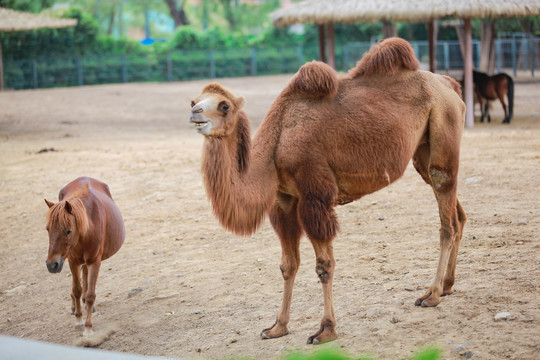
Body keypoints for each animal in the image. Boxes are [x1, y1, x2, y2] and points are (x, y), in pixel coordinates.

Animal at [44, 176, 125, 336]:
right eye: (48, 229)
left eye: (68, 231)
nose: (51, 265)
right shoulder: (72, 261)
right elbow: (76, 289)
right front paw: (79, 320)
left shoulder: (94, 261)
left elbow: (90, 295)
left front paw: (88, 328)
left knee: (86, 277)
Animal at [190, 38, 468, 344]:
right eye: (194, 100)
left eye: (224, 106)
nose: (195, 112)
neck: (276, 145)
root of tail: (449, 85)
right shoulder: (285, 202)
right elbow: (288, 265)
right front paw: (277, 327)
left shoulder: (315, 197)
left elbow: (324, 266)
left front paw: (325, 330)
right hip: (422, 151)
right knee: (457, 212)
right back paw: (447, 286)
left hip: (443, 123)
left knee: (446, 209)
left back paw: (431, 295)